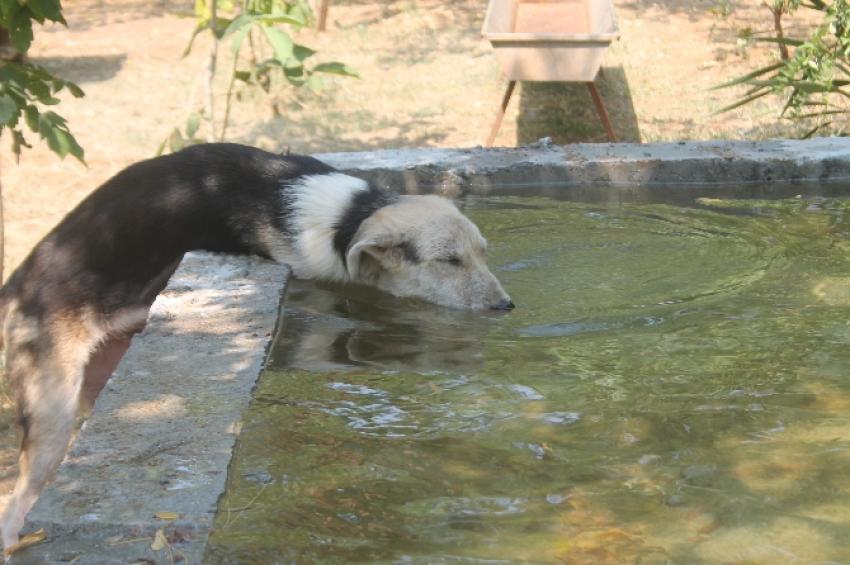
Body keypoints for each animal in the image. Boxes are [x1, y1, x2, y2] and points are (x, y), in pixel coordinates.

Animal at [0, 143, 510, 548]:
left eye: (483, 253)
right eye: (449, 260)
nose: (506, 307)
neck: (347, 220)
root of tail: (16, 287)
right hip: (51, 409)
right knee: (19, 497)